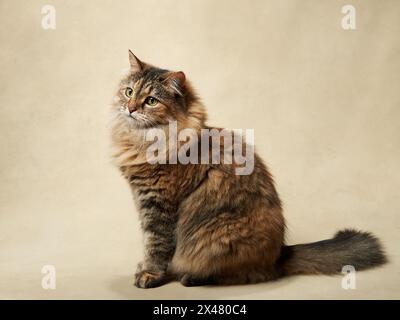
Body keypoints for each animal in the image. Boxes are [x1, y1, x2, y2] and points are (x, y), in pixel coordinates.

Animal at [111, 51, 386, 288]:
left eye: (151, 101)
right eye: (129, 92)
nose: (131, 108)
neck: (142, 142)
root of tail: (279, 254)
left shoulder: (160, 205)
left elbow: (156, 245)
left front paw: (150, 274)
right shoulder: (143, 199)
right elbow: (149, 242)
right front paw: (143, 267)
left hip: (220, 235)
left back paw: (192, 277)